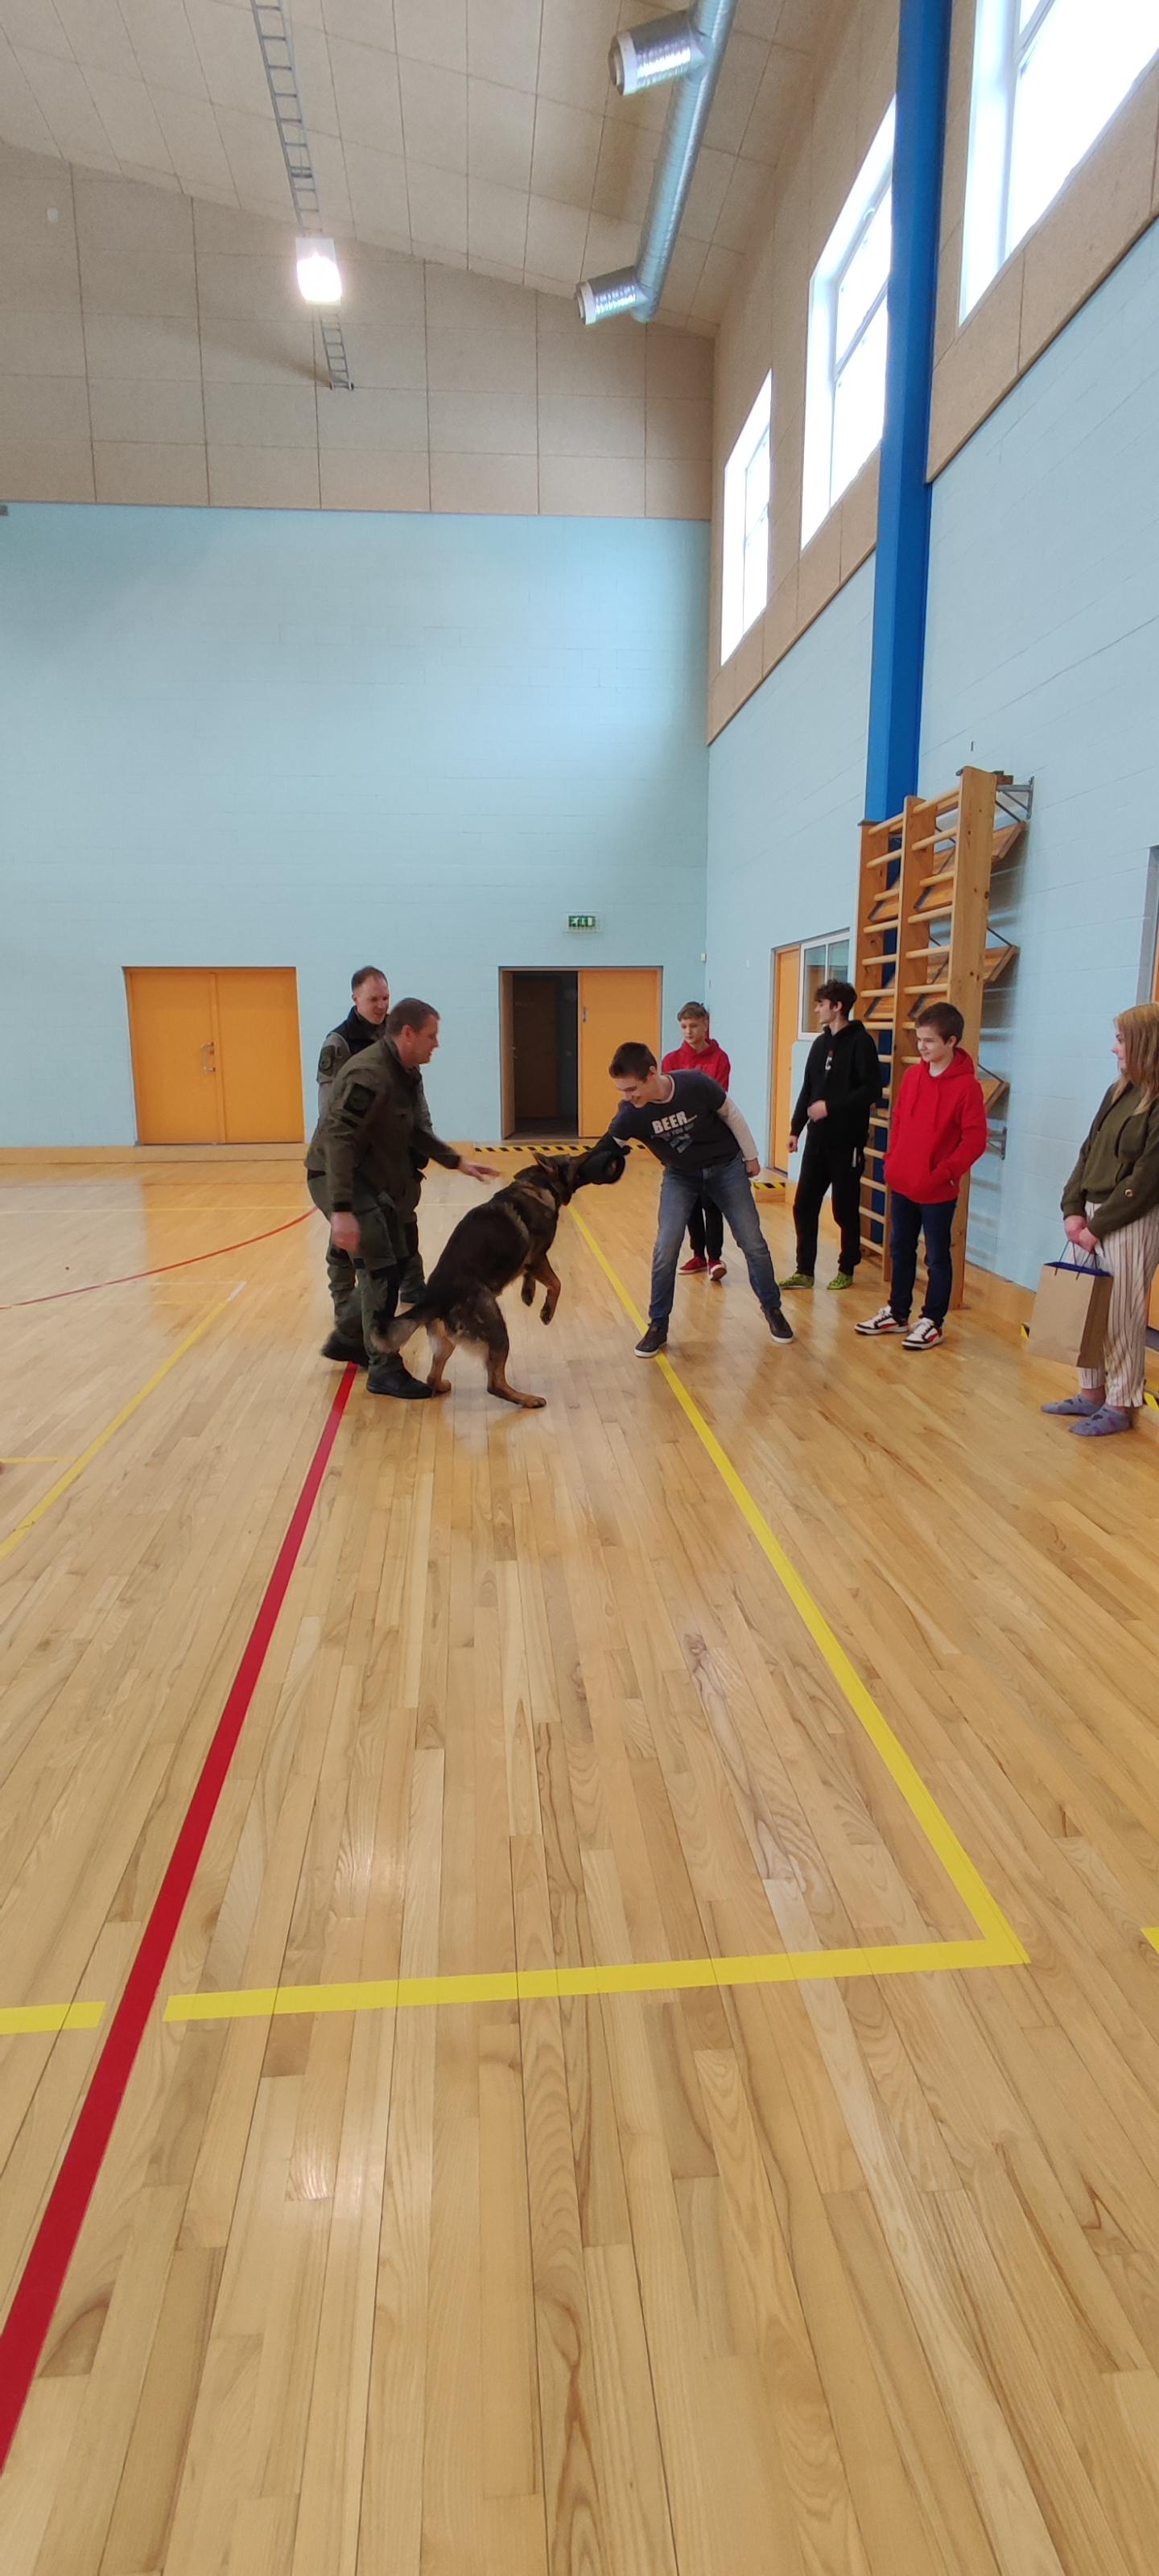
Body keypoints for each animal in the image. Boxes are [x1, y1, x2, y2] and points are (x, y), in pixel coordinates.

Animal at [374, 1141, 625, 1407]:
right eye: (570, 1159)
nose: (591, 1152)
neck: (537, 1184)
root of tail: (433, 1299)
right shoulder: (538, 1256)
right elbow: (557, 1283)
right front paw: (547, 1311)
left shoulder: (530, 1261)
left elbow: (533, 1277)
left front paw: (528, 1293)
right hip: (497, 1331)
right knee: (494, 1384)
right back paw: (527, 1399)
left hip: (448, 1343)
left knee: (433, 1376)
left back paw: (441, 1386)